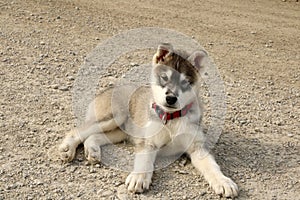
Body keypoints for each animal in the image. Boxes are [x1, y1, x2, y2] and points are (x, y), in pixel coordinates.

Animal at [57, 43, 238, 198]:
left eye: (186, 82)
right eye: (164, 77)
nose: (171, 98)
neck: (171, 119)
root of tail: (108, 90)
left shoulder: (197, 147)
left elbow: (212, 166)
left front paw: (223, 181)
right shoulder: (148, 142)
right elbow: (144, 161)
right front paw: (139, 177)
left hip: (120, 131)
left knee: (94, 136)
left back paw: (93, 150)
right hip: (114, 117)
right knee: (78, 131)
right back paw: (67, 149)